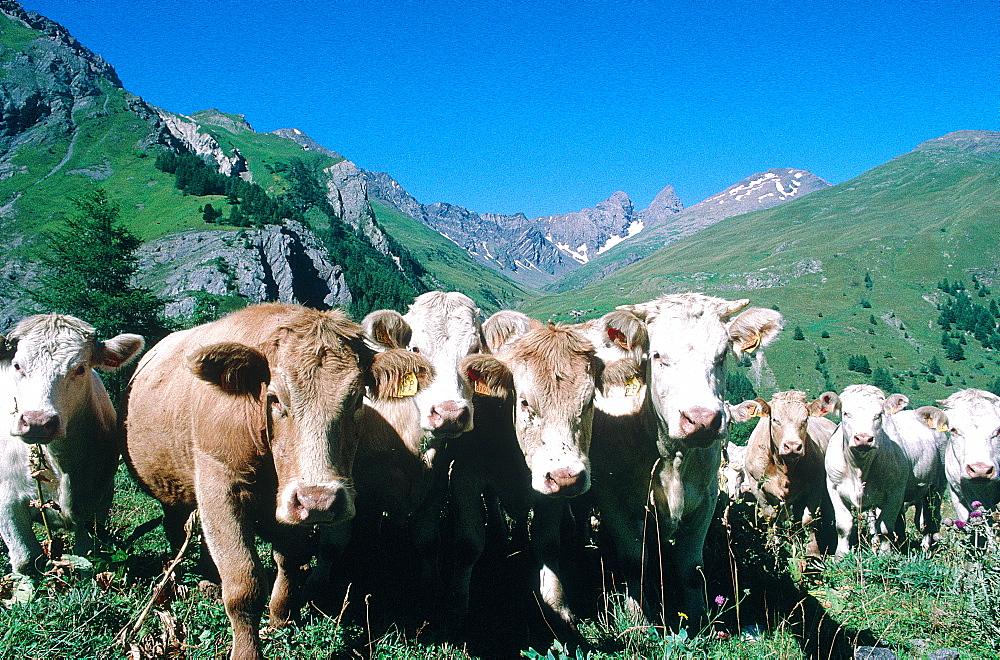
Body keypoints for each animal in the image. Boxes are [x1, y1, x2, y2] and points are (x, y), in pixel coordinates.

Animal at [0, 312, 145, 576]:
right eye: (17, 365)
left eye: (80, 368)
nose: (37, 422)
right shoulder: (7, 501)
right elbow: (26, 559)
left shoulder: (97, 500)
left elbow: (86, 554)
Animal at [124, 302, 430, 660]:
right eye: (274, 398)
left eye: (357, 400)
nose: (319, 499)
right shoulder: (219, 486)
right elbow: (242, 583)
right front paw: (246, 651)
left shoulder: (292, 505)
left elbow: (290, 560)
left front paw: (280, 617)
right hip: (172, 485)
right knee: (176, 527)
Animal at [584, 294, 780, 624]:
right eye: (657, 355)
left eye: (721, 356)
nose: (701, 420)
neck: (672, 459)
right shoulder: (613, 502)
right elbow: (634, 561)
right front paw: (638, 620)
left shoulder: (706, 500)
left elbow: (691, 568)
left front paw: (700, 617)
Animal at [828, 384, 944, 560]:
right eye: (846, 413)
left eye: (879, 414)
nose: (863, 438)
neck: (859, 469)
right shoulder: (833, 488)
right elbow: (843, 526)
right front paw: (840, 556)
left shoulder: (895, 493)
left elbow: (885, 527)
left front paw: (885, 555)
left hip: (936, 489)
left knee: (929, 522)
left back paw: (927, 550)